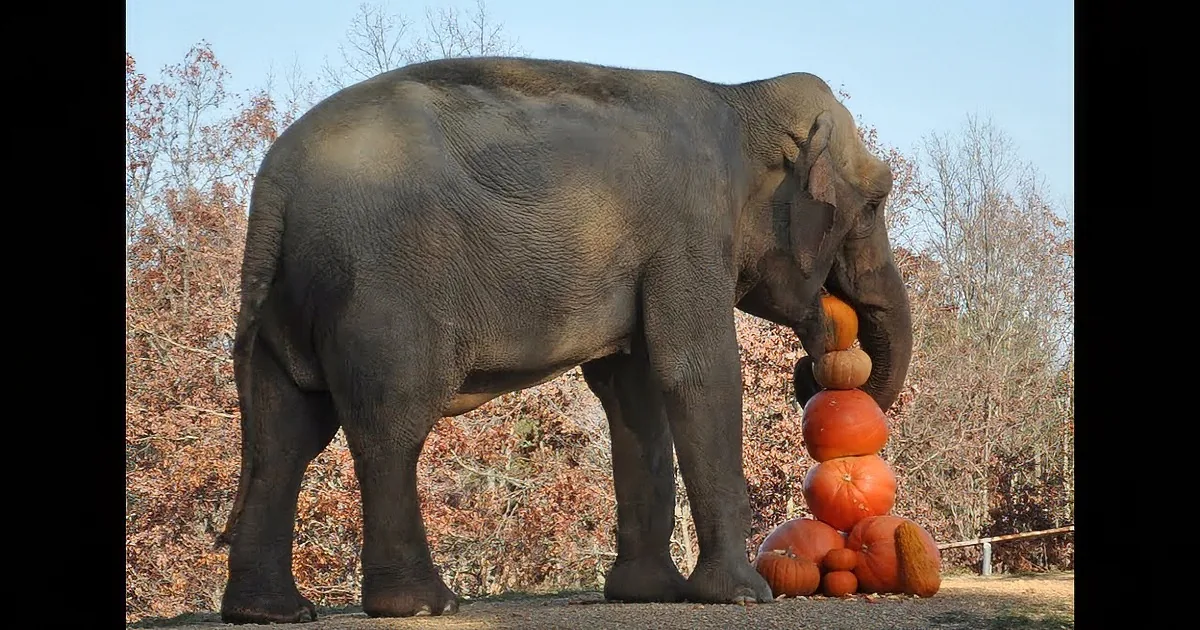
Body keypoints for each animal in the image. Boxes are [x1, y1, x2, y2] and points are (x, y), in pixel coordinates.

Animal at [214, 55, 913, 624]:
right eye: (877, 201)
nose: (813, 367)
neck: (740, 95)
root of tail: (273, 187)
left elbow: (634, 391)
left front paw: (645, 595)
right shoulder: (689, 232)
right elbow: (696, 372)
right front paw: (743, 596)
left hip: (290, 297)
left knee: (284, 436)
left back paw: (272, 613)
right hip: (383, 291)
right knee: (389, 427)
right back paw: (423, 605)